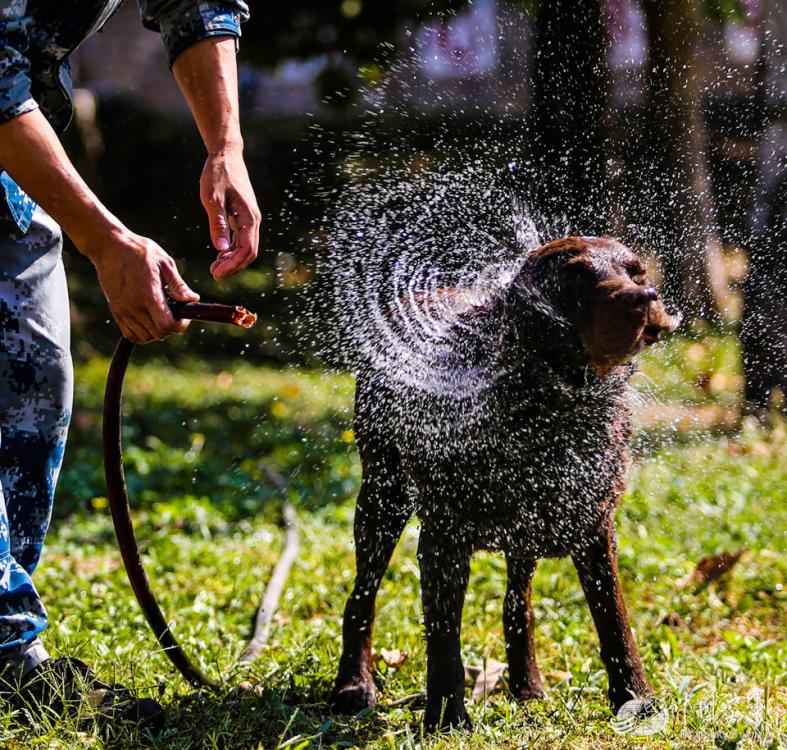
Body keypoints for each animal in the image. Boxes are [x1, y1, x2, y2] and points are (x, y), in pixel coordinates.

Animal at [330, 238, 680, 732]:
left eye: (638, 272)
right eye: (574, 279)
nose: (645, 298)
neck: (546, 406)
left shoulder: (595, 528)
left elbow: (615, 622)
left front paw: (636, 699)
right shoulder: (442, 538)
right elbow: (444, 640)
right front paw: (446, 717)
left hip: (522, 531)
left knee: (517, 603)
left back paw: (527, 686)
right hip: (383, 495)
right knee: (362, 597)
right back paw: (353, 686)